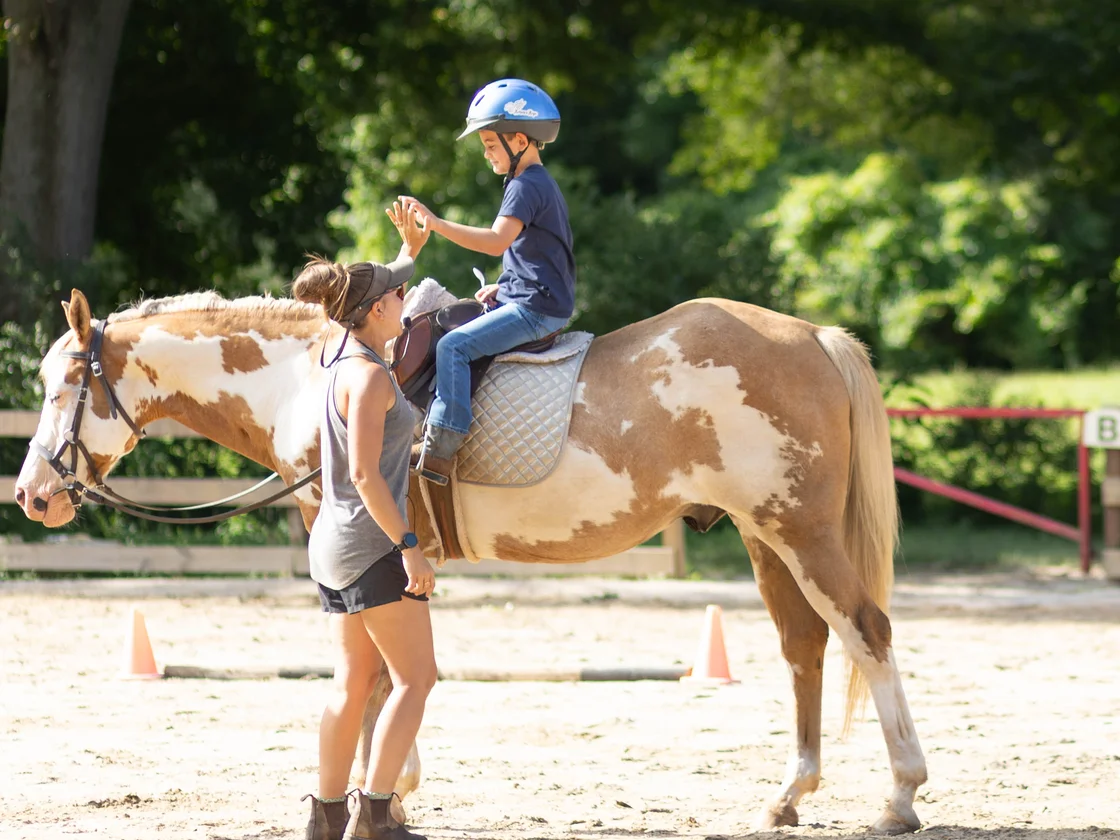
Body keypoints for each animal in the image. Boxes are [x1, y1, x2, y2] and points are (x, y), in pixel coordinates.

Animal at [14, 286, 927, 834]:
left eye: (63, 388)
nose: (32, 496)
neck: (314, 378)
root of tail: (812, 335)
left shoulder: (352, 540)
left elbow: (372, 673)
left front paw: (381, 795)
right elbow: (385, 671)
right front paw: (392, 791)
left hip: (800, 530)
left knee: (869, 632)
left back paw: (900, 795)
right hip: (762, 533)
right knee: (806, 647)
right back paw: (789, 795)